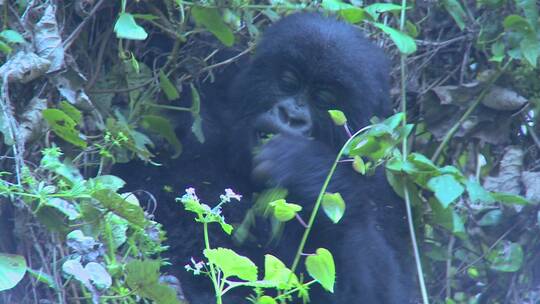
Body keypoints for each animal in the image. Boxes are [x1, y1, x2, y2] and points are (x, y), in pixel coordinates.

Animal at [117, 11, 414, 304]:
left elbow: (389, 293)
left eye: (323, 97)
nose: (291, 116)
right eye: (288, 82)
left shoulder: (386, 195)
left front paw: (305, 165)